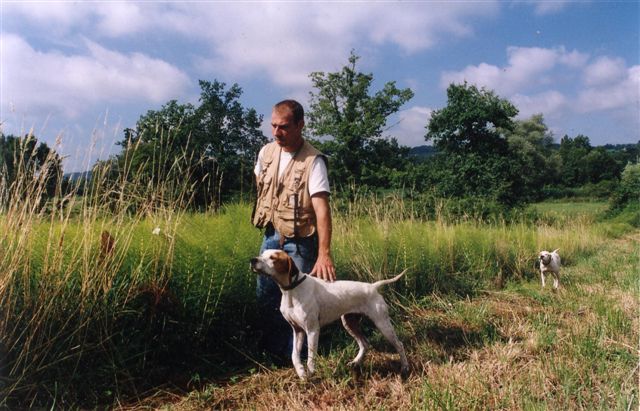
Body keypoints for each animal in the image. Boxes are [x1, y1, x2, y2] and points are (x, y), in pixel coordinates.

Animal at [250, 248, 410, 380]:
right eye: (262, 254)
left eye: (273, 257)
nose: (253, 260)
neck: (292, 290)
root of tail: (372, 287)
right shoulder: (298, 330)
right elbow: (294, 355)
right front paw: (301, 372)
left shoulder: (312, 330)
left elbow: (311, 357)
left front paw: (311, 373)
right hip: (349, 323)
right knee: (365, 344)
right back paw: (356, 362)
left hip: (382, 323)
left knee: (399, 345)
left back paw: (405, 368)